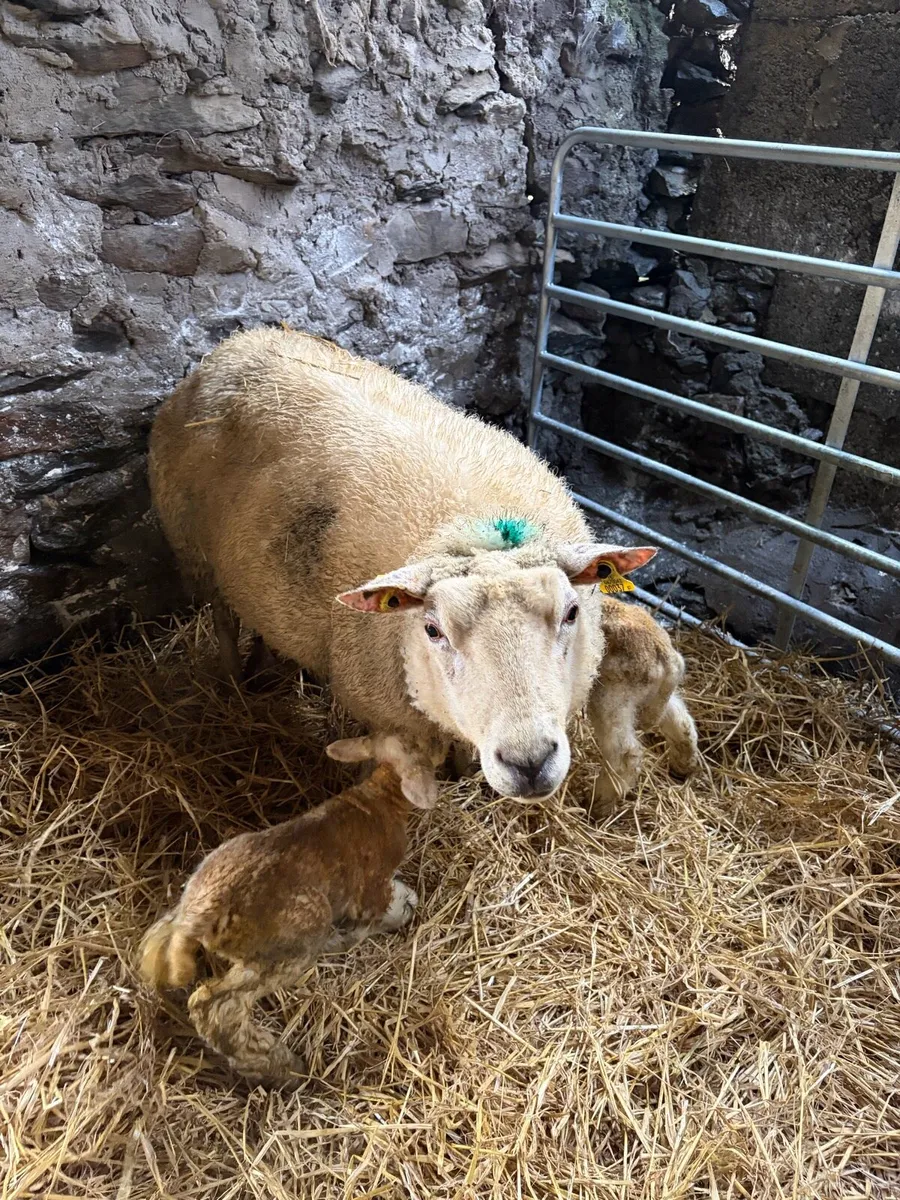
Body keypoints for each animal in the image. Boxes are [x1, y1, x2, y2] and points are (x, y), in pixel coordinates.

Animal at [139, 735, 421, 1083]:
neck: (376, 797)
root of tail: (205, 908)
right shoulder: (370, 887)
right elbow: (376, 913)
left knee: (162, 940)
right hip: (285, 949)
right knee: (217, 1008)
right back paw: (283, 1069)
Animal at [149, 326, 663, 807]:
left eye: (572, 613)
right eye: (432, 630)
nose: (529, 762)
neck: (475, 530)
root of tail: (241, 340)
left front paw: (463, 769)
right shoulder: (378, 708)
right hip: (195, 553)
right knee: (222, 620)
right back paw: (235, 682)